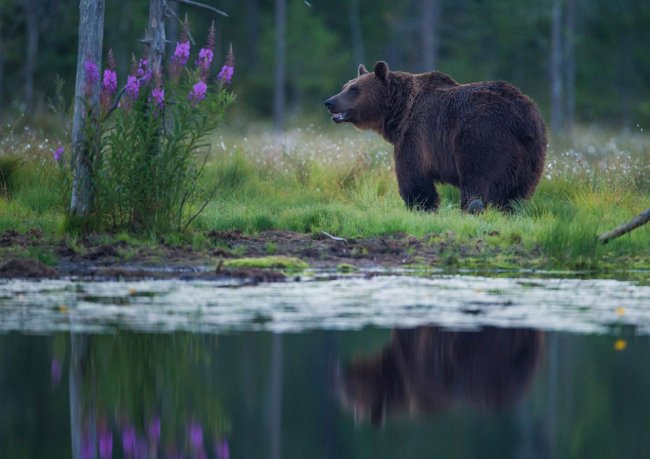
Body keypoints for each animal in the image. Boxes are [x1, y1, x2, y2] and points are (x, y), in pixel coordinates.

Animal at [324, 62, 548, 213]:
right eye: (345, 85)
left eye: (354, 89)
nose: (329, 102)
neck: (399, 112)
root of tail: (521, 116)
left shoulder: (416, 135)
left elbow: (413, 175)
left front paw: (420, 205)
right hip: (533, 152)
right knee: (518, 192)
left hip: (481, 134)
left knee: (477, 176)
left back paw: (471, 206)